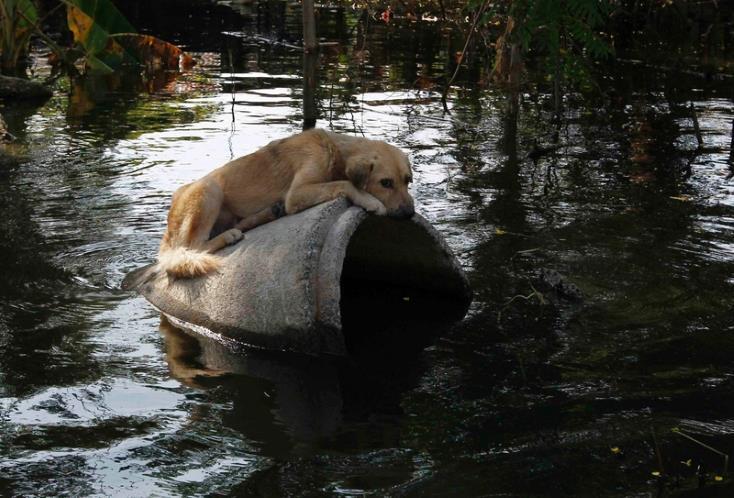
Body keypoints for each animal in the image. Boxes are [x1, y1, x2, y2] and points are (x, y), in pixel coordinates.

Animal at [159, 128, 416, 278]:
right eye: (385, 183)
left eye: (407, 180)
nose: (410, 214)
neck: (335, 151)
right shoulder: (297, 193)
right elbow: (345, 183)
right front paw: (370, 201)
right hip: (209, 189)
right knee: (195, 246)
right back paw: (229, 235)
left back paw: (268, 213)